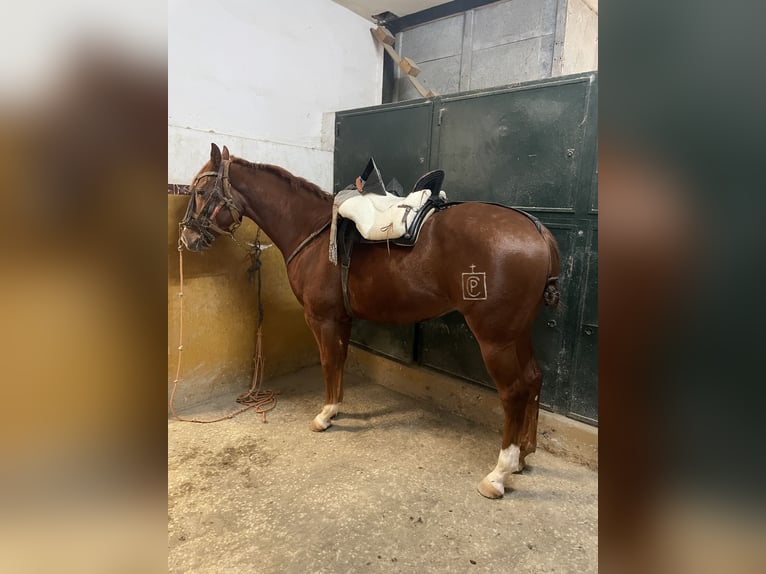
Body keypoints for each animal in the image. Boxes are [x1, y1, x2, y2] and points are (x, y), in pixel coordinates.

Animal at [182, 144, 560, 500]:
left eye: (199, 191)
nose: (186, 239)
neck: (313, 231)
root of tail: (537, 230)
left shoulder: (322, 318)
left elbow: (328, 360)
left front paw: (325, 414)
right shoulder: (341, 318)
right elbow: (339, 360)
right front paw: (336, 407)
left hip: (495, 338)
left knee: (514, 391)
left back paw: (500, 472)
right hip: (516, 334)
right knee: (533, 379)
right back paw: (524, 454)